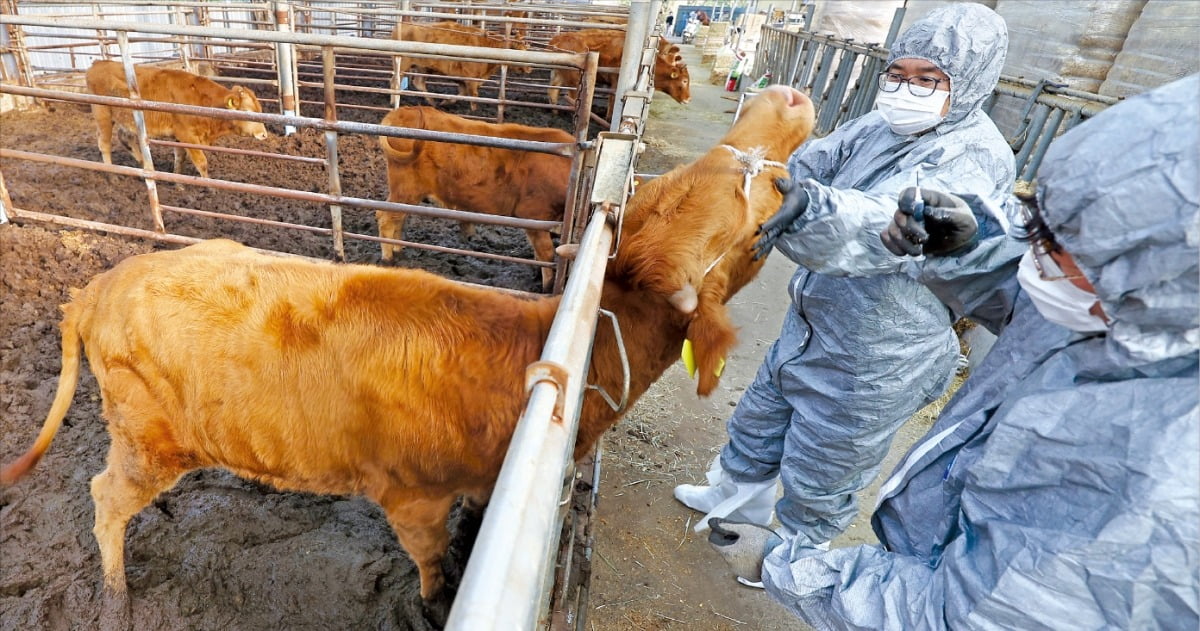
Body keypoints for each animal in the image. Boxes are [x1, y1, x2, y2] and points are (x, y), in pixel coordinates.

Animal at [85, 59, 270, 177]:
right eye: (247, 111)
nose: (264, 135)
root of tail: (98, 63)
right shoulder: (187, 135)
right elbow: (201, 162)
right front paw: (210, 188)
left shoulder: (178, 137)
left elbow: (180, 159)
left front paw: (178, 184)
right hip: (102, 113)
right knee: (104, 144)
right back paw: (112, 175)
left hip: (127, 120)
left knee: (125, 138)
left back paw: (145, 165)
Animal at [379, 106, 576, 291]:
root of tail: (403, 111)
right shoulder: (534, 215)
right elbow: (547, 254)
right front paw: (547, 287)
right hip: (405, 189)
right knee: (385, 217)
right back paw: (388, 259)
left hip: (409, 194)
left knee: (398, 218)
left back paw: (398, 250)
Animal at [393, 19, 530, 111]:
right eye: (519, 50)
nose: (529, 68)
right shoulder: (471, 79)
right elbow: (474, 96)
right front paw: (474, 112)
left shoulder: (463, 79)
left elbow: (462, 94)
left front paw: (445, 101)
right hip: (402, 64)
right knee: (395, 82)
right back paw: (394, 101)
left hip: (424, 68)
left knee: (419, 83)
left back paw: (433, 102)